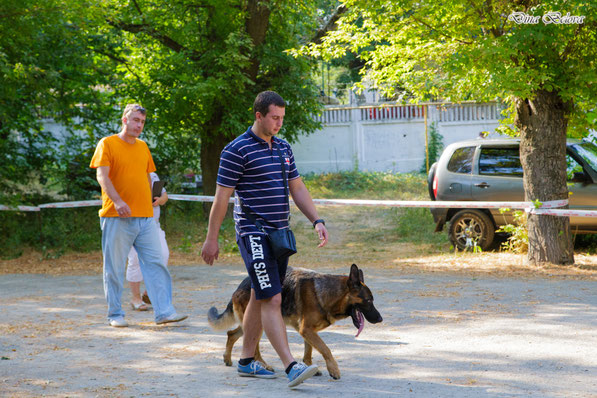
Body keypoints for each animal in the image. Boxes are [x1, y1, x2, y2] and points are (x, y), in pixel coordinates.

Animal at [206, 264, 382, 380]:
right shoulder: (307, 330)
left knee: (231, 334)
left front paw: (310, 366)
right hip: (260, 322)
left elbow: (309, 351)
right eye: (368, 300)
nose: (380, 319)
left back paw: (228, 358)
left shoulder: (308, 331)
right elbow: (325, 349)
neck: (329, 294)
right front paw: (333, 369)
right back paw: (262, 365)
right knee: (252, 345)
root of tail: (239, 286)